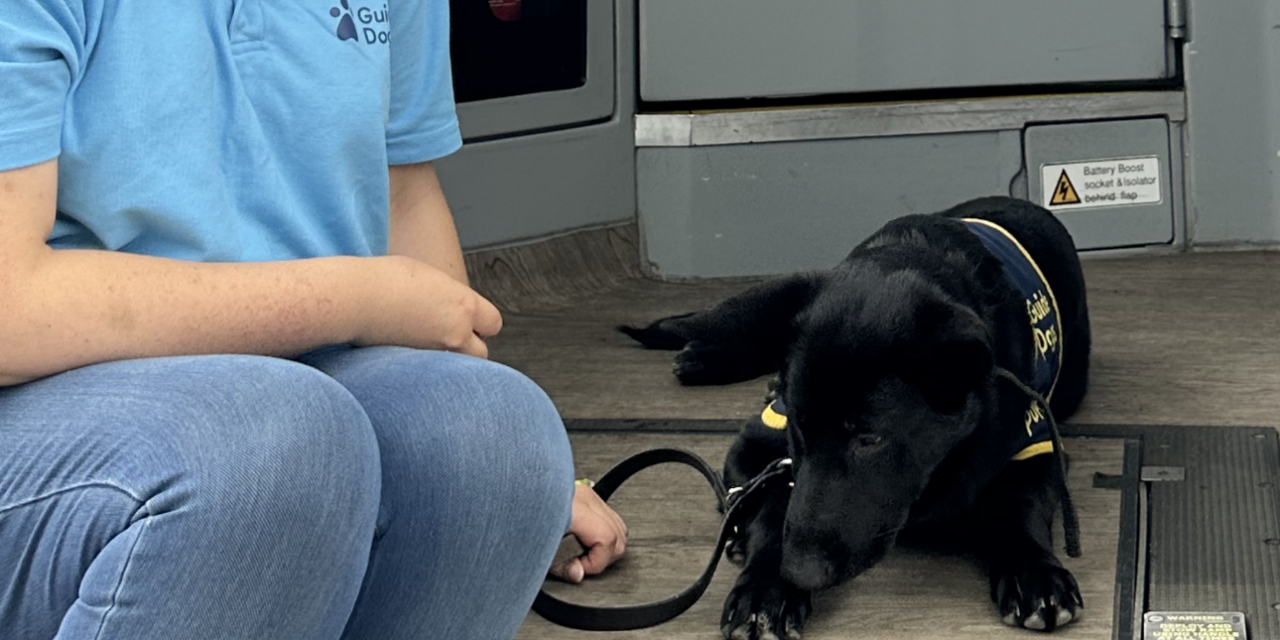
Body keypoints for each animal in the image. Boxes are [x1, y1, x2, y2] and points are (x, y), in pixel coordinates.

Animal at [619, 197, 1090, 637]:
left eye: (869, 439)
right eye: (799, 427)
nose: (800, 572)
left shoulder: (1036, 442)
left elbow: (1021, 505)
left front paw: (1035, 571)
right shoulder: (761, 443)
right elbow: (774, 505)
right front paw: (765, 588)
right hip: (771, 298)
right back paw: (701, 357)